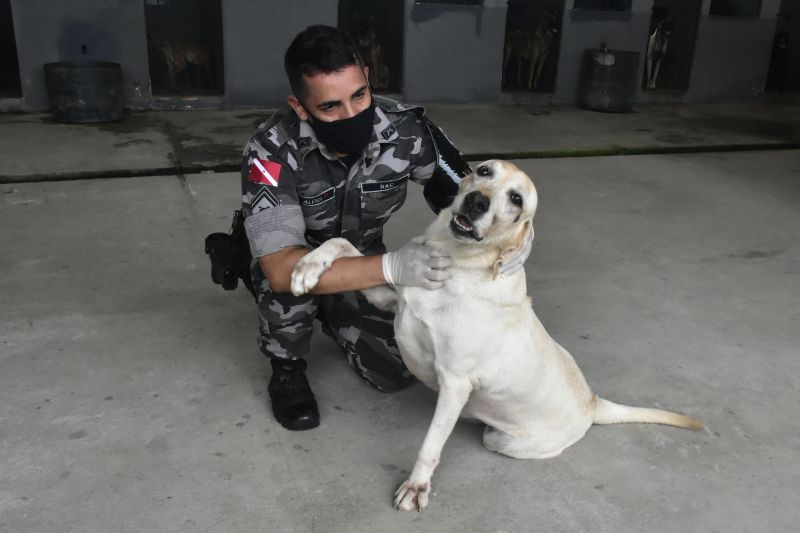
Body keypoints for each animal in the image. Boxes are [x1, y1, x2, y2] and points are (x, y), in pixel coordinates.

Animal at [290, 159, 700, 512]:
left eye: (517, 199)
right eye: (484, 171)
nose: (477, 201)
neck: (458, 263)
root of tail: (593, 402)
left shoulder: (454, 383)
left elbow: (431, 443)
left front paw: (417, 486)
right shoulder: (391, 299)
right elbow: (346, 247)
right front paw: (308, 266)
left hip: (502, 438)